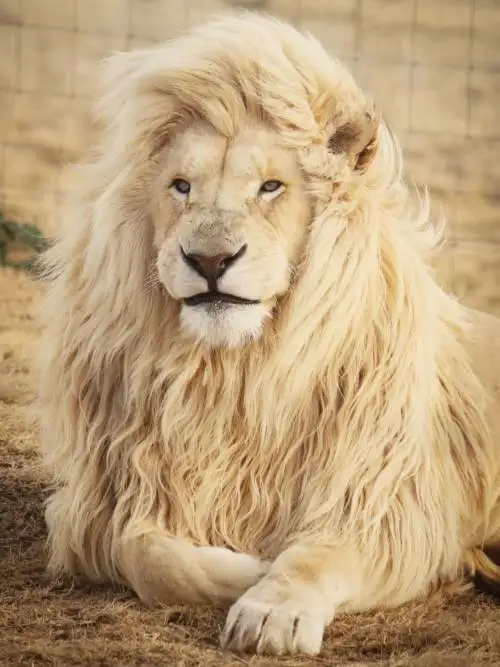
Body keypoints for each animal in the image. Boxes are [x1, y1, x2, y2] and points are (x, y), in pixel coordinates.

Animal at [37, 11, 500, 657]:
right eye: (181, 186)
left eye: (271, 187)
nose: (209, 260)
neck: (234, 373)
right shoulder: (112, 500)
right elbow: (148, 554)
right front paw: (247, 568)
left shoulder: (385, 508)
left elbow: (314, 557)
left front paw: (270, 607)